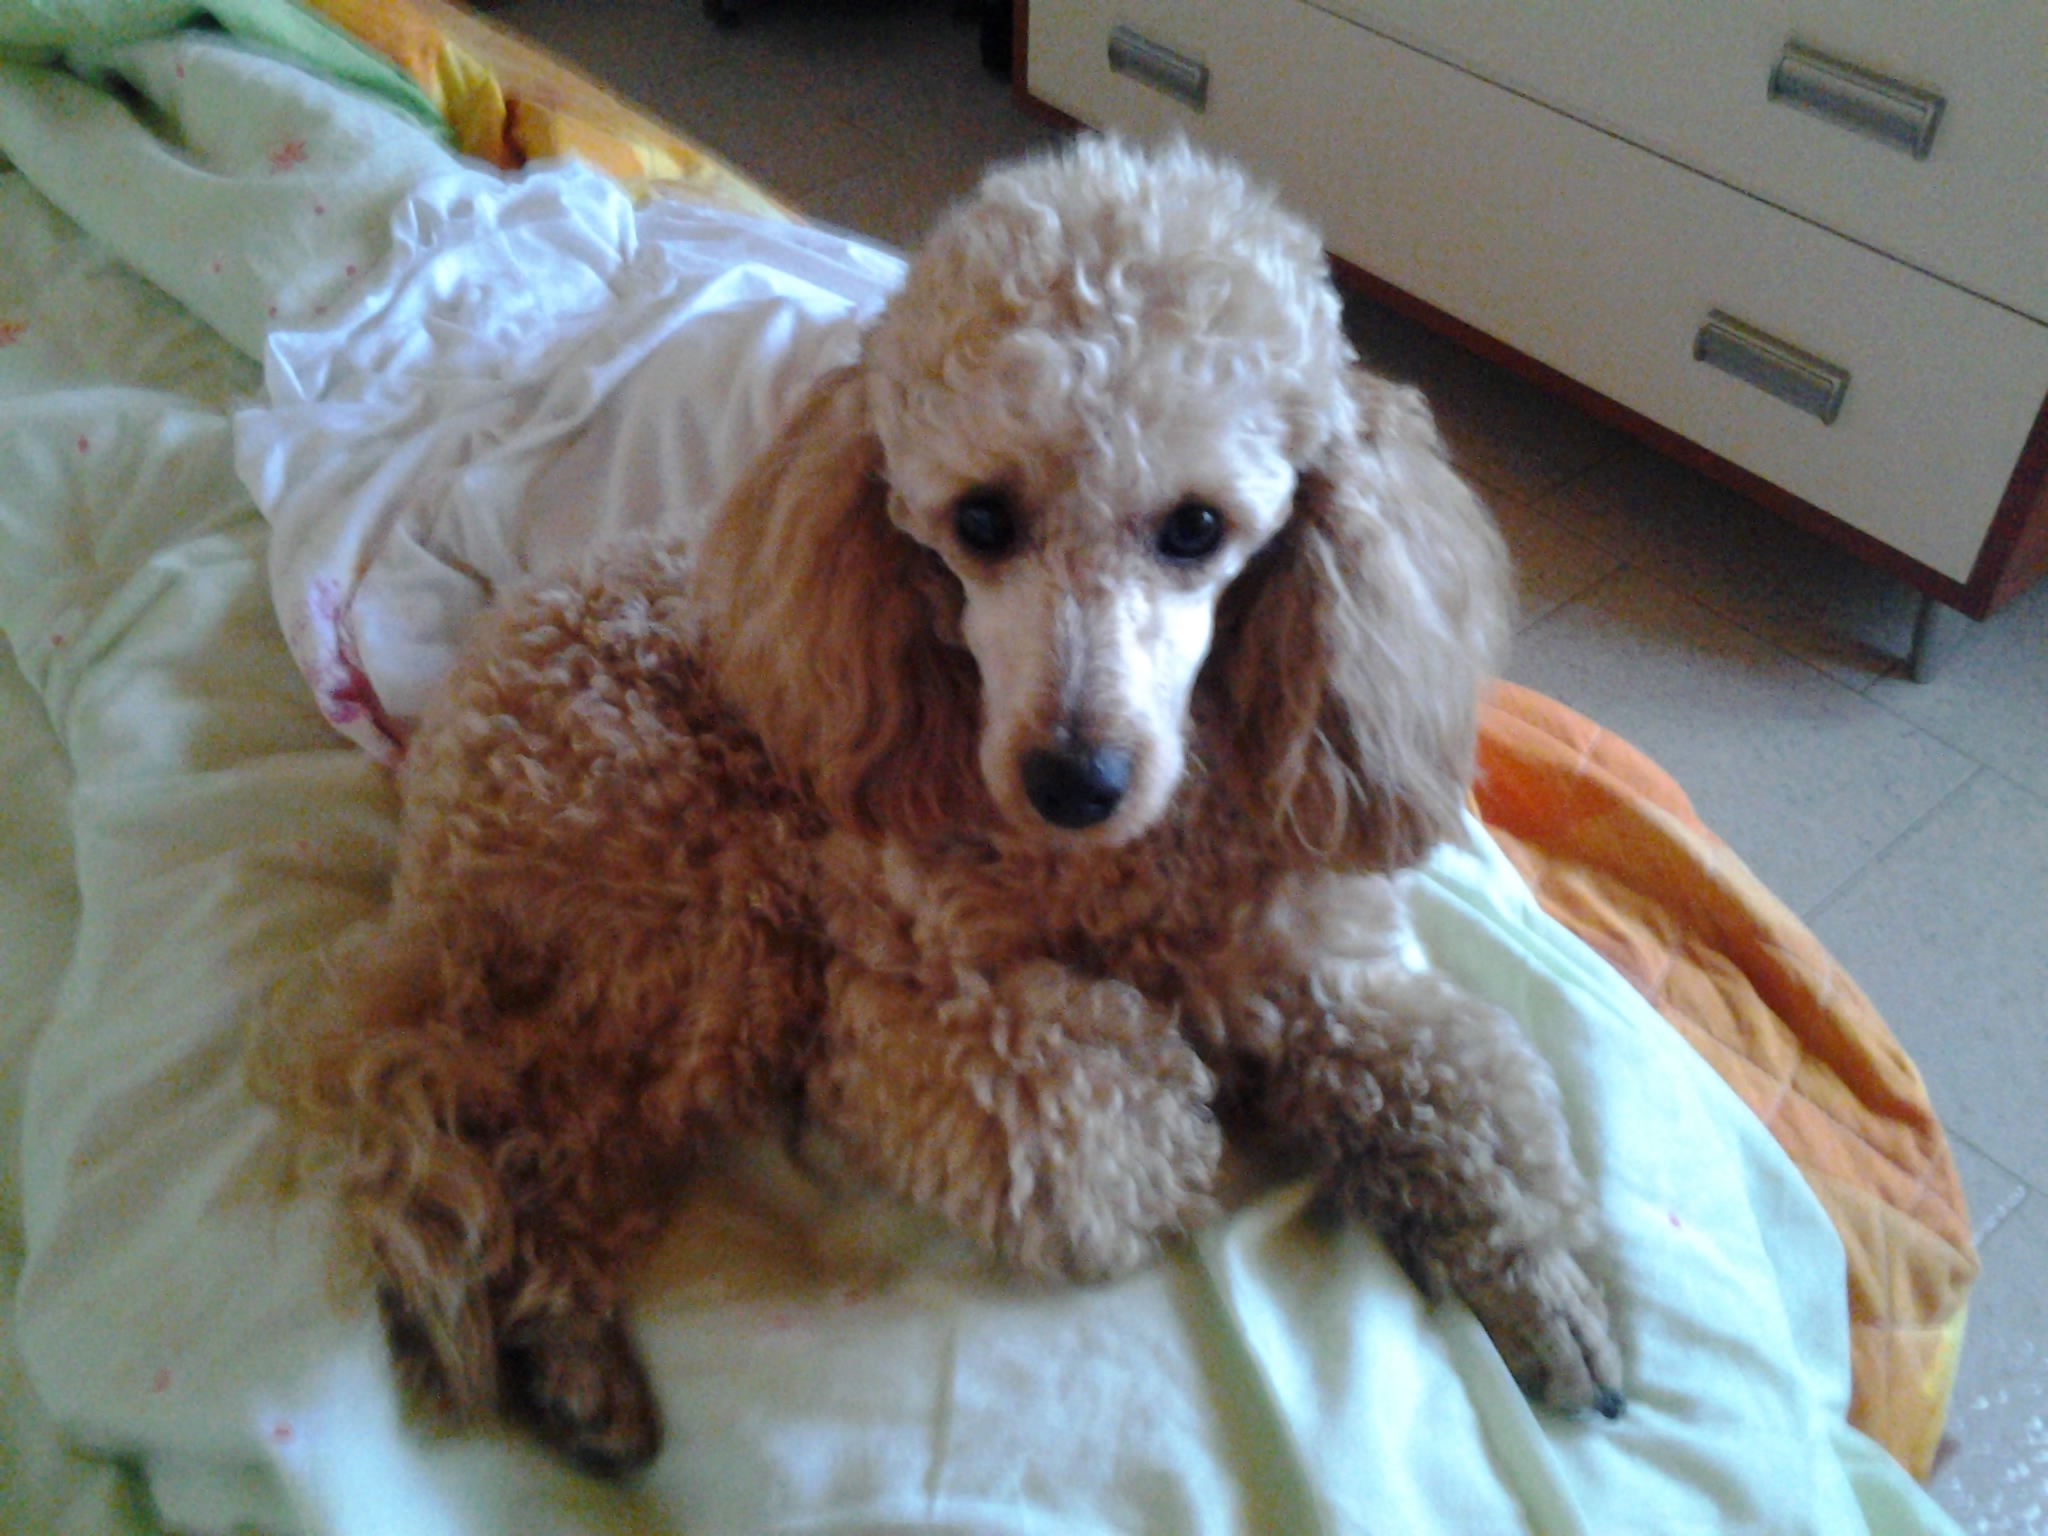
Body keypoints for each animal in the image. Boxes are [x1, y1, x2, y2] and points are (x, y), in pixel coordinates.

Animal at [263, 135, 1623, 1475]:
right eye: (980, 520)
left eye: (1196, 528)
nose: (1072, 782)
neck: (1123, 864)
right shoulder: (903, 1005)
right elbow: (1111, 1124)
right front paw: (1190, 1098)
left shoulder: (1318, 971)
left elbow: (1460, 1083)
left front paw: (1543, 1286)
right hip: (700, 925)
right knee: (518, 1122)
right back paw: (562, 1343)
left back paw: (569, 1361)